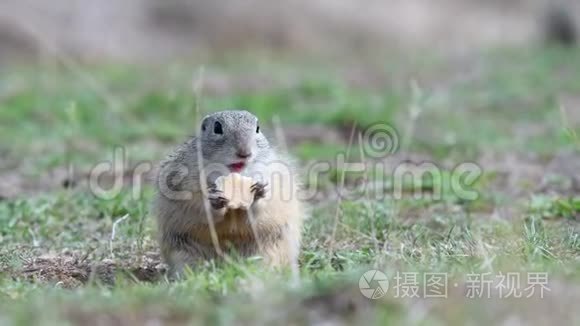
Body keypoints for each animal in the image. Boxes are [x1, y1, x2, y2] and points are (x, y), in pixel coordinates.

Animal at [152, 110, 306, 276]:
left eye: (257, 128)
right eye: (217, 128)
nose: (244, 153)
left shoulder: (276, 182)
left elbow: (262, 209)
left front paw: (259, 192)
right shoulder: (185, 186)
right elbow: (200, 209)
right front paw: (215, 201)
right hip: (183, 252)